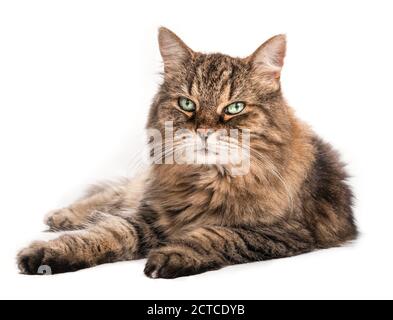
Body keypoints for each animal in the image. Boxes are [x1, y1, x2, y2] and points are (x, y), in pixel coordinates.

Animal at [16, 27, 356, 278]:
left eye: (234, 108)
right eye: (187, 104)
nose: (203, 131)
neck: (208, 182)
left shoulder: (283, 232)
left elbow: (218, 235)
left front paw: (172, 255)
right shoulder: (151, 217)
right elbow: (108, 233)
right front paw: (49, 253)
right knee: (113, 196)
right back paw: (62, 216)